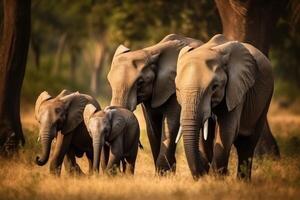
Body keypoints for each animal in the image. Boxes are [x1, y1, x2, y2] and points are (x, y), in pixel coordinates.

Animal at [106, 33, 203, 173]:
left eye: (140, 82)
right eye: (109, 83)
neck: (151, 51)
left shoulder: (174, 87)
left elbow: (170, 125)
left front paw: (164, 172)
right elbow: (152, 127)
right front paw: (165, 172)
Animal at [175, 34, 280, 180]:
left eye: (214, 87)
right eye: (177, 89)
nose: (202, 174)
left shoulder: (237, 89)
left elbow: (227, 130)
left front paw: (216, 179)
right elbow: (204, 135)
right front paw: (211, 177)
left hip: (267, 96)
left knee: (247, 143)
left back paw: (243, 182)